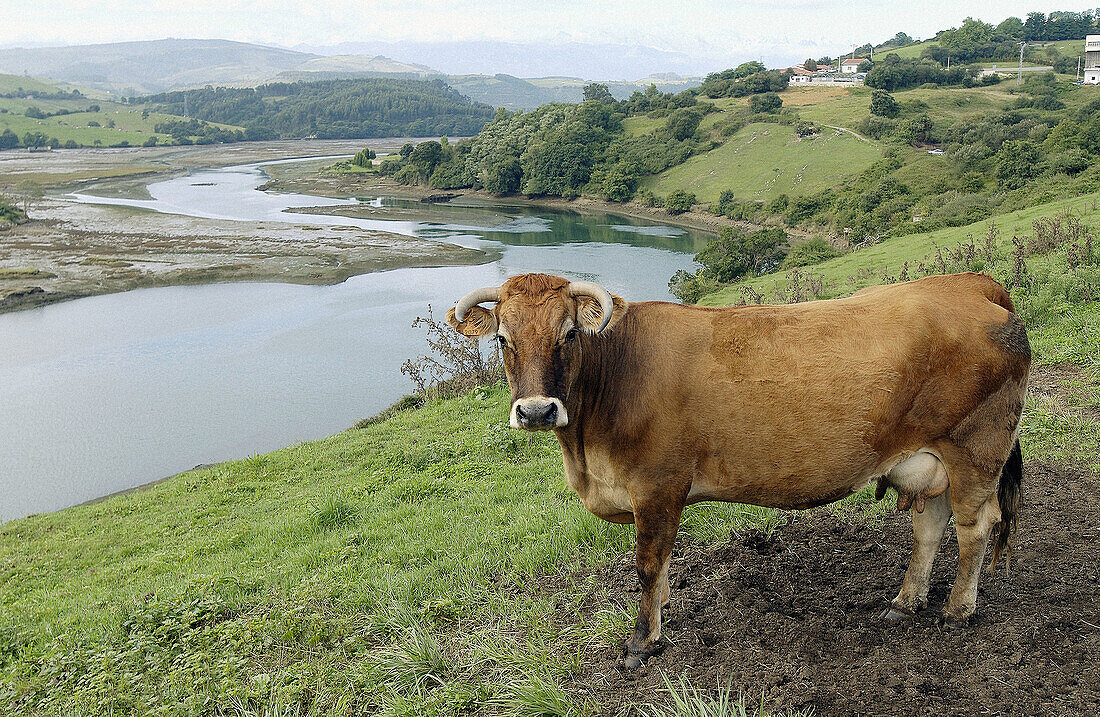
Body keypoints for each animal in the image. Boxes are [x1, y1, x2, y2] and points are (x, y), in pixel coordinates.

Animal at [442, 271, 1025, 668]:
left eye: (567, 334)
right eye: (503, 339)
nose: (537, 411)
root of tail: (971, 283)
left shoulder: (656, 485)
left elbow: (648, 565)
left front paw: (641, 643)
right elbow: (664, 565)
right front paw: (659, 622)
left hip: (976, 450)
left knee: (977, 528)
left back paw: (958, 609)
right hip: (931, 461)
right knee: (931, 527)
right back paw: (906, 602)